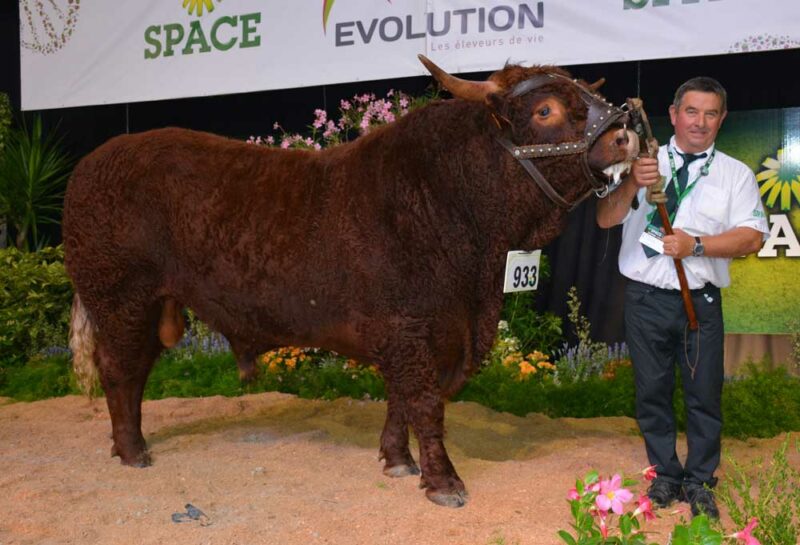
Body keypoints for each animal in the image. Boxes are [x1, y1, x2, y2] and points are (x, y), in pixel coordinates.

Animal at [62, 55, 636, 506]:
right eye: (545, 110)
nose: (625, 133)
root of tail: (94, 161)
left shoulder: (425, 329)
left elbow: (401, 399)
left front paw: (397, 460)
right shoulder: (409, 326)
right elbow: (424, 402)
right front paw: (443, 482)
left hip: (148, 303)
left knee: (135, 372)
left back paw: (128, 446)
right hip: (119, 295)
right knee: (120, 371)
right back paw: (133, 452)